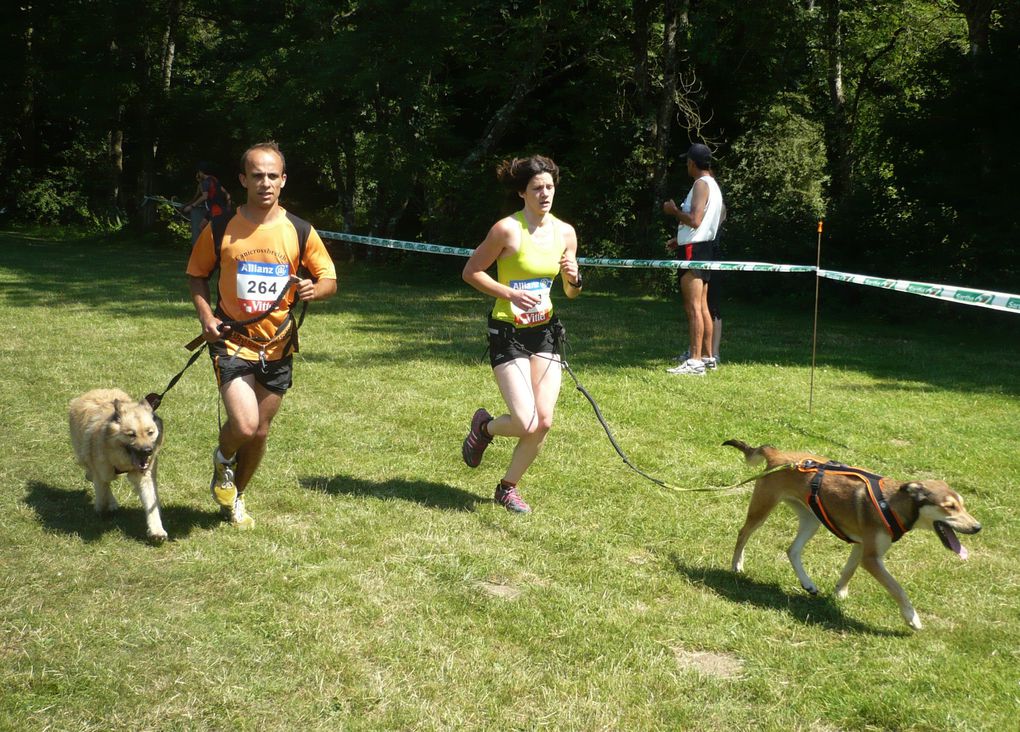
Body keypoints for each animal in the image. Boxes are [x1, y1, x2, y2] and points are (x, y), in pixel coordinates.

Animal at [726, 438, 979, 628]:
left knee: (792, 550)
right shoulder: (872, 558)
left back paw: (808, 584)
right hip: (763, 508)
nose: (977, 527)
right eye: (949, 507)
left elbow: (848, 571)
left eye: (963, 505)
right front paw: (912, 618)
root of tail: (777, 455)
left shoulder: (861, 545)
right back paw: (737, 564)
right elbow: (896, 588)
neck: (893, 504)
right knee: (743, 533)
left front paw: (839, 593)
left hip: (811, 519)